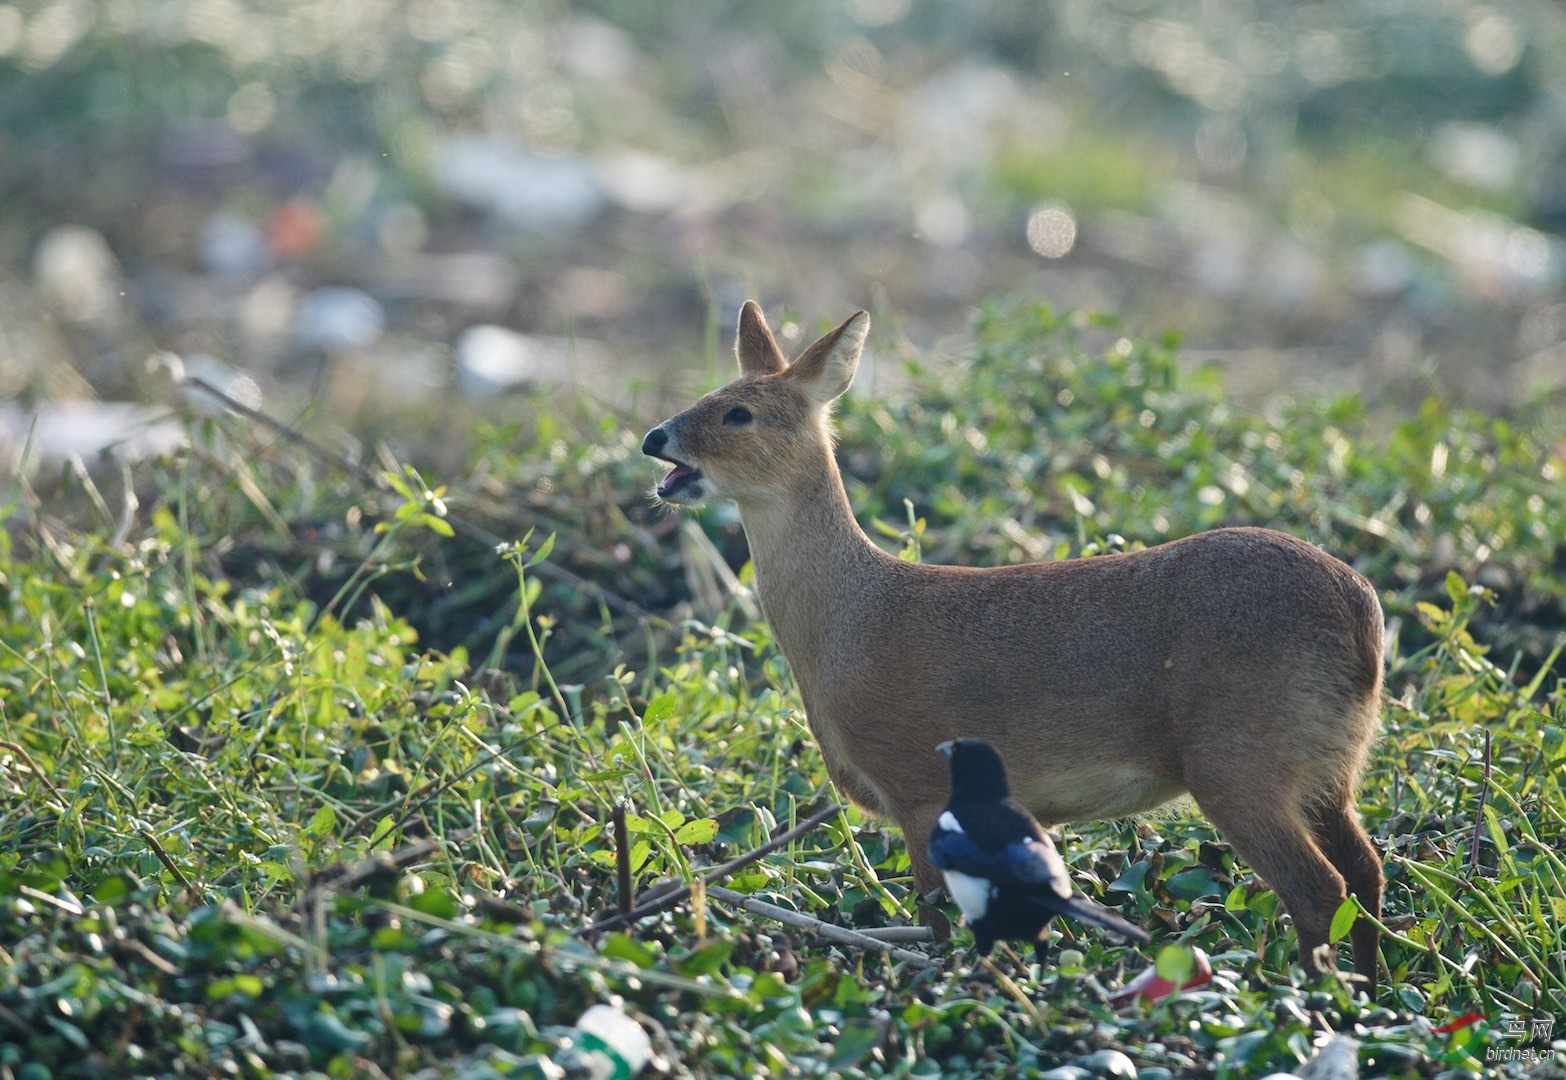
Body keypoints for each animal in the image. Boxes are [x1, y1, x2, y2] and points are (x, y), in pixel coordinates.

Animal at [642, 298, 1390, 989]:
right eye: (707, 395)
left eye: (739, 412)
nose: (655, 437)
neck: (847, 624)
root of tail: (1363, 616)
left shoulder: (918, 784)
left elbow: (936, 922)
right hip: (1328, 766)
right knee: (1367, 871)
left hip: (1240, 757)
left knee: (1319, 888)